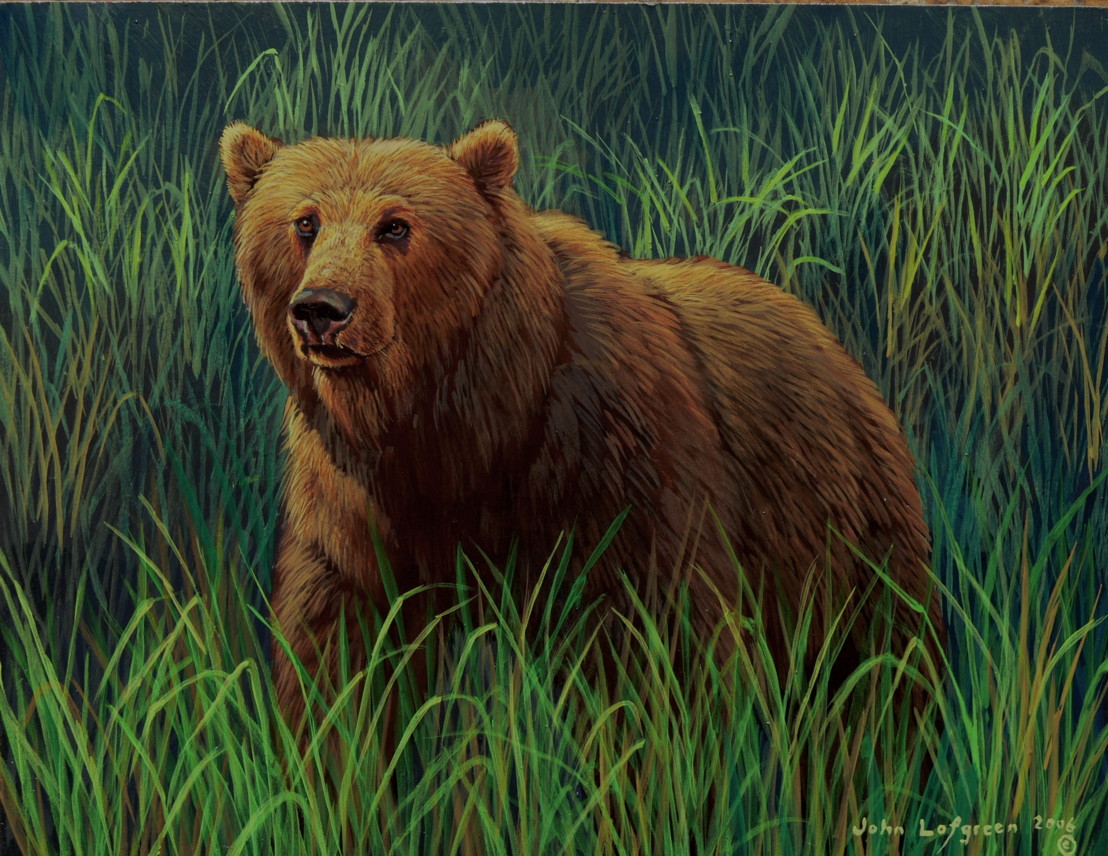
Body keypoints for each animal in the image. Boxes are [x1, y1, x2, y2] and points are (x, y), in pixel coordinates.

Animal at [219, 119, 945, 733]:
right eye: (304, 222)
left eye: (395, 226)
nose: (322, 308)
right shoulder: (356, 497)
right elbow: (341, 652)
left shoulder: (610, 457)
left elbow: (656, 648)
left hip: (837, 522)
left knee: (875, 676)